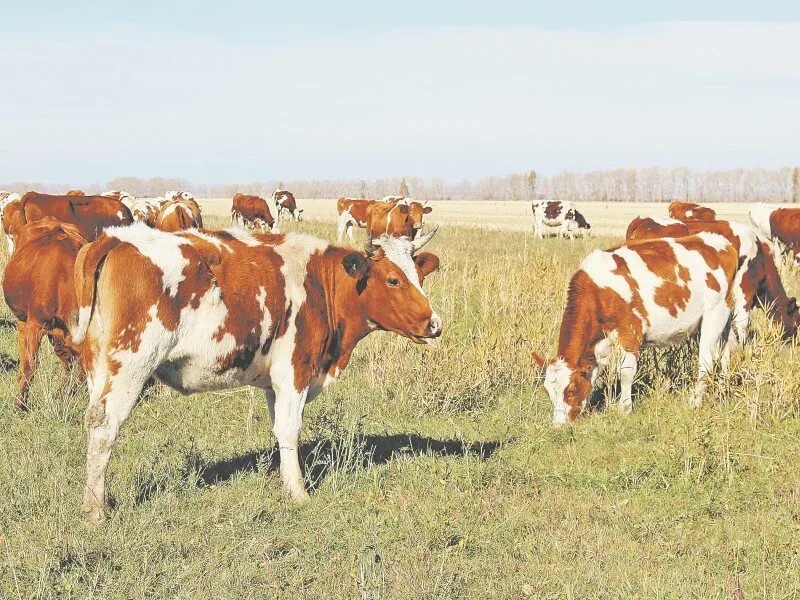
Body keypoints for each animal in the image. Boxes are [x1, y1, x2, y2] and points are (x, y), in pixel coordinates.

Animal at [2, 218, 86, 406]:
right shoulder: (36, 325)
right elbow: (31, 366)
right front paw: (20, 404)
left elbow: (68, 363)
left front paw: (64, 395)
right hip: (23, 318)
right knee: (23, 347)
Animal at [73, 224, 444, 520]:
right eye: (393, 279)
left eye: (420, 277)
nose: (434, 324)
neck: (319, 282)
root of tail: (116, 237)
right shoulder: (295, 369)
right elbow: (290, 429)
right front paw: (298, 492)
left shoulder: (272, 383)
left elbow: (278, 430)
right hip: (132, 363)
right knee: (105, 425)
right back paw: (95, 510)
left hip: (98, 367)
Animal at [536, 232, 740, 424]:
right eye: (547, 392)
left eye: (570, 390)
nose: (559, 425)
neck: (599, 293)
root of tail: (720, 242)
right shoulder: (595, 347)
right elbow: (592, 375)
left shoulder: (630, 332)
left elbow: (626, 372)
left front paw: (625, 409)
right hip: (724, 320)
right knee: (725, 355)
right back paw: (722, 392)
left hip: (715, 313)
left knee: (706, 361)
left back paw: (695, 402)